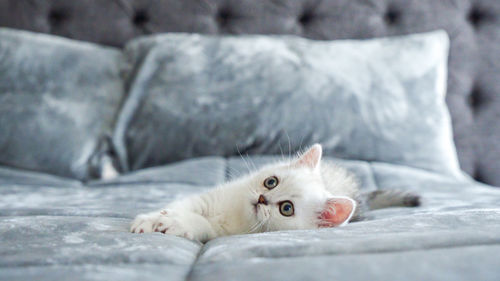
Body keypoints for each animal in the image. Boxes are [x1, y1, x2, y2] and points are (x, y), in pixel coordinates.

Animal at [131, 143, 420, 242]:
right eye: (271, 182)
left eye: (286, 208)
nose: (262, 198)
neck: (237, 213)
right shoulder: (209, 197)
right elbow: (183, 205)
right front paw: (150, 219)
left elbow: (201, 224)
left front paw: (176, 224)